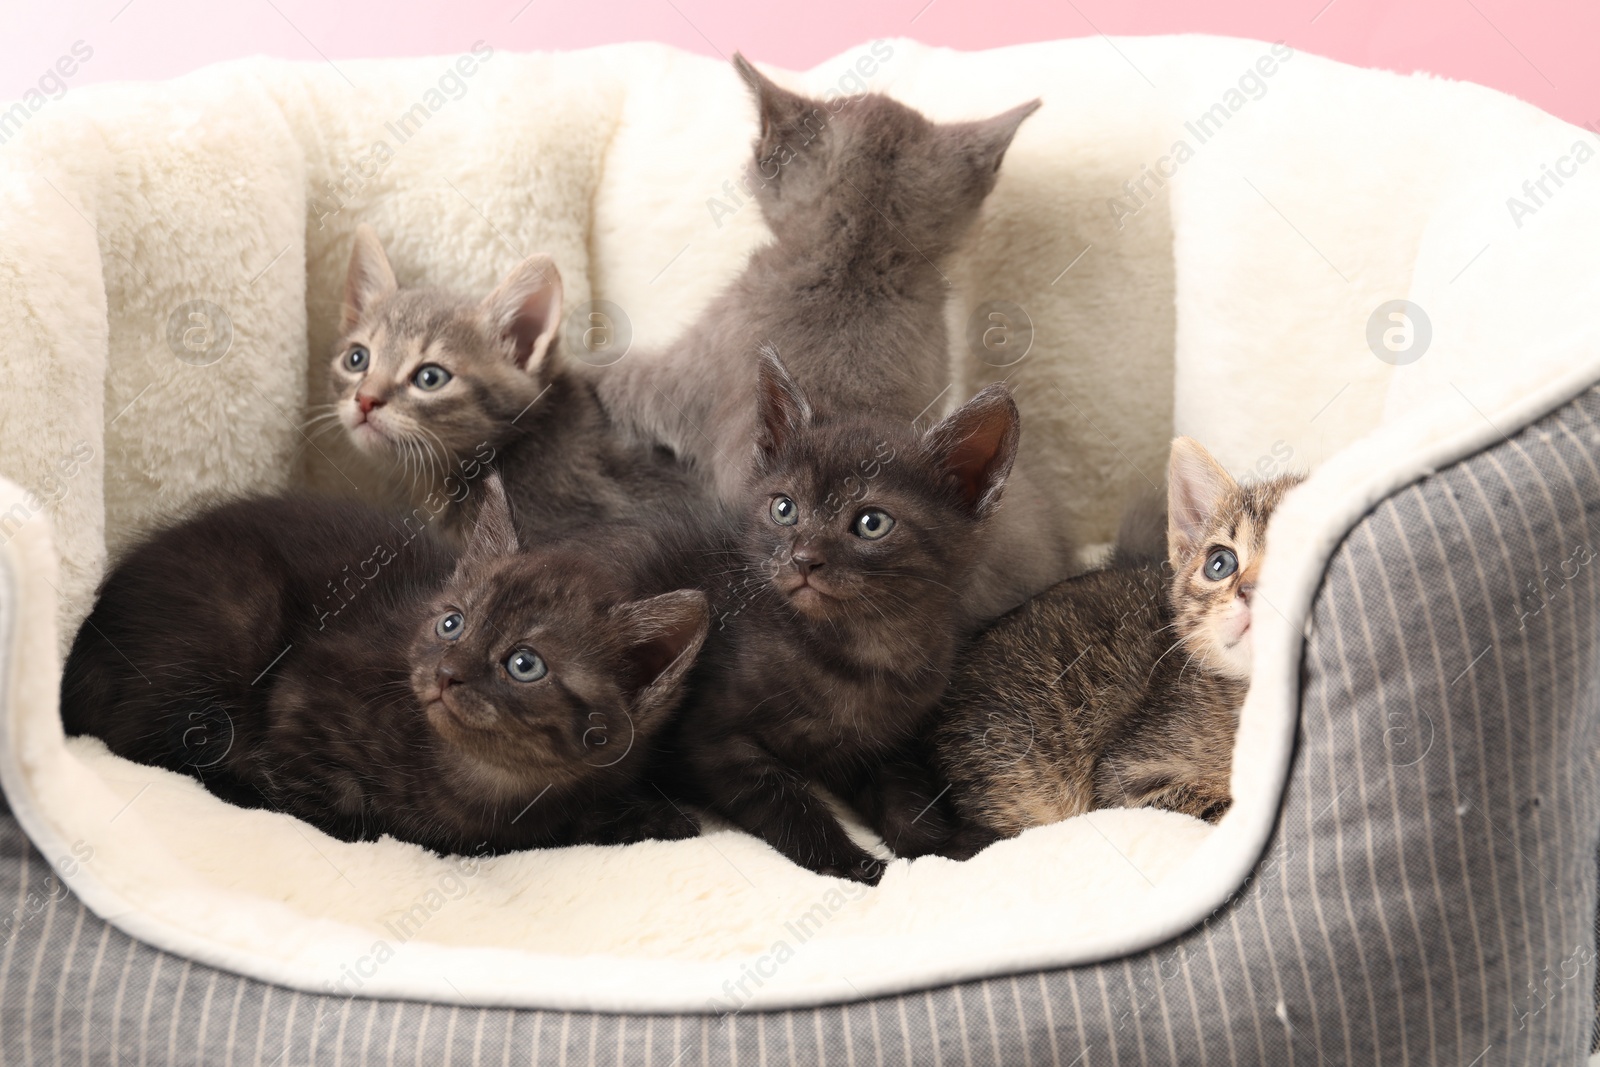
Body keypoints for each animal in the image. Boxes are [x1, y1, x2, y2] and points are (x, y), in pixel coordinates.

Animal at [59, 476, 707, 857]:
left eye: (525, 665)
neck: (490, 783)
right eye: (452, 623)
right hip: (234, 622)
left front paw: (650, 818)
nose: (447, 674)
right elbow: (327, 808)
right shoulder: (303, 695)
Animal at [672, 350, 1011, 883]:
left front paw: (941, 844)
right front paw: (854, 863)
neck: (858, 649)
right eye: (784, 508)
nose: (803, 557)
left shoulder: (885, 746)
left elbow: (907, 799)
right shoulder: (712, 739)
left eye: (871, 523)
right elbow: (788, 803)